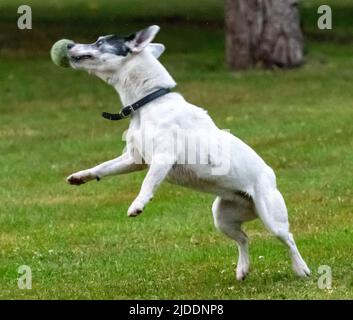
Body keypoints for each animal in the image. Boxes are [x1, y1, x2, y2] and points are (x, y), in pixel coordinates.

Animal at [65, 25, 308, 280]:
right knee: (243, 239)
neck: (149, 101)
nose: (68, 45)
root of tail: (270, 176)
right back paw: (242, 269)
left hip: (271, 215)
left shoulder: (163, 158)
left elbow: (147, 183)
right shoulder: (134, 159)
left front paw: (137, 204)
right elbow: (103, 167)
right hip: (222, 216)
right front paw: (81, 176)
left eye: (100, 41)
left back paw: (301, 269)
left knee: (288, 239)